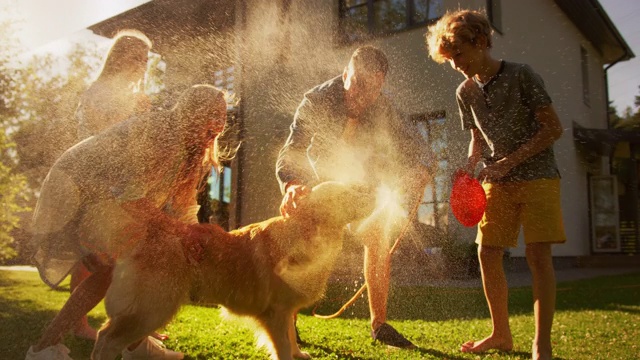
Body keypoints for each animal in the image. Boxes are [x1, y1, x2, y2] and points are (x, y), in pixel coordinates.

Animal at [90, 181, 376, 360]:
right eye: (347, 195)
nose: (374, 196)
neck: (306, 235)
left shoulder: (287, 311)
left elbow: (292, 339)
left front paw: (299, 353)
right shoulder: (274, 314)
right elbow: (282, 347)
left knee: (104, 335)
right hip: (152, 310)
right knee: (107, 340)